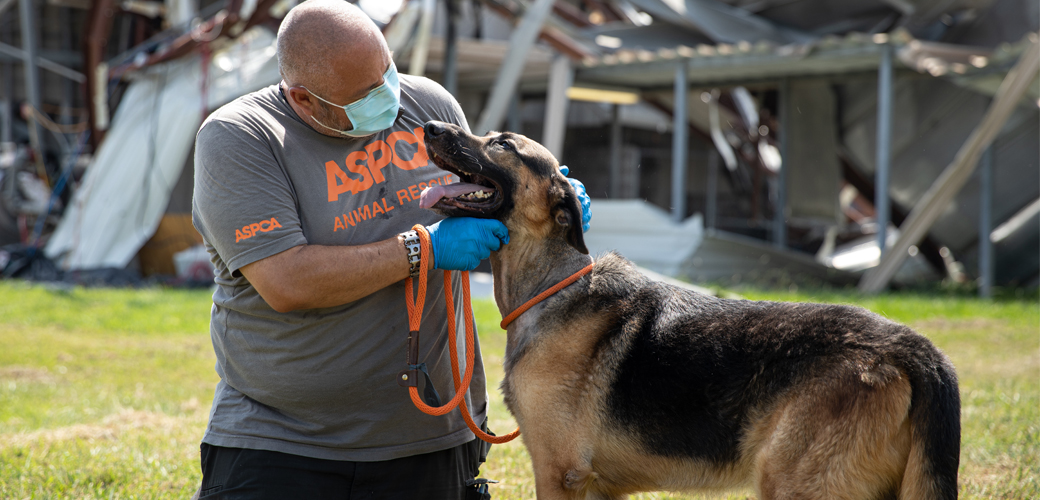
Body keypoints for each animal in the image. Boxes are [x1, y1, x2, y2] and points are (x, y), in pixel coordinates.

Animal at [416, 119, 956, 496]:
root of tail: (914, 348)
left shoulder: (559, 473)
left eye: (503, 145)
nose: (430, 128)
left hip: (793, 482)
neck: (551, 285)